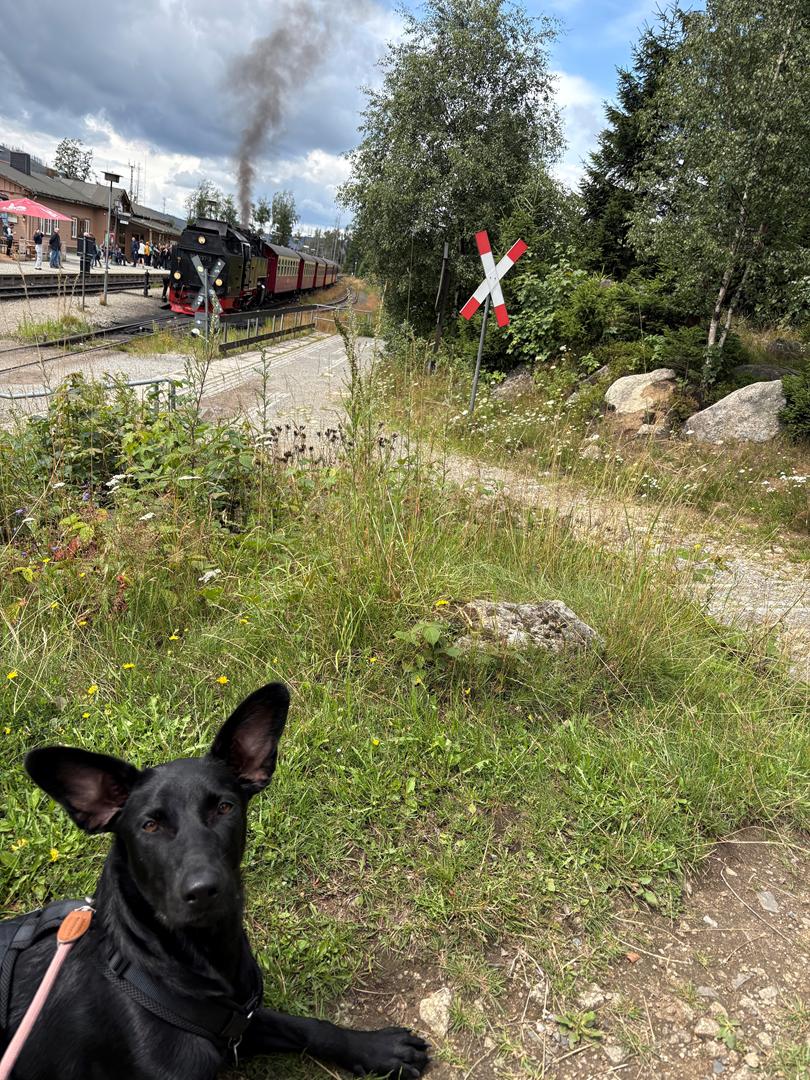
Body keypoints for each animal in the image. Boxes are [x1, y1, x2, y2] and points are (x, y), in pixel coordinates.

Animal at [1, 683, 429, 1079]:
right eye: (150, 825)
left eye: (224, 807)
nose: (204, 891)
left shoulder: (237, 1020)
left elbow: (304, 1026)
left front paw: (373, 1048)